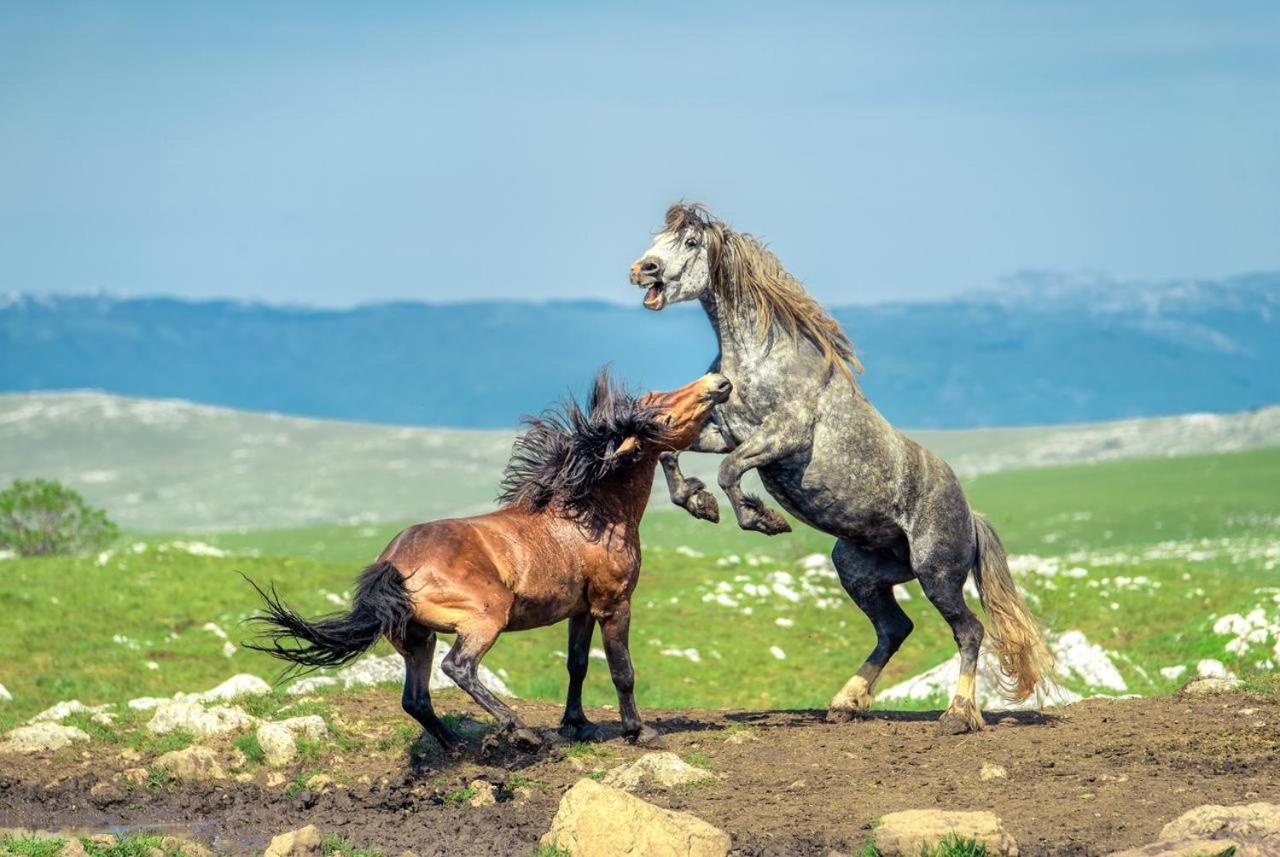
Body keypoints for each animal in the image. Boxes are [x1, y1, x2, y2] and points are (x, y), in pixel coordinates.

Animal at [248, 368, 732, 752]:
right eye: (660, 412)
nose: (718, 381)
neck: (592, 514)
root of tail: (394, 563)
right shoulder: (613, 604)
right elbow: (622, 671)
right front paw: (639, 731)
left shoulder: (581, 610)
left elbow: (576, 666)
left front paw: (577, 726)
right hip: (485, 618)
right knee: (458, 668)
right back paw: (519, 730)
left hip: (416, 638)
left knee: (416, 699)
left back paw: (458, 746)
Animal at [624, 204, 1054, 736]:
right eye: (659, 237)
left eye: (688, 241)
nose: (641, 269)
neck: (762, 359)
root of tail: (971, 517)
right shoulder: (726, 430)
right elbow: (671, 452)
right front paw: (699, 503)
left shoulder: (780, 437)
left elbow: (729, 472)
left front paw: (762, 518)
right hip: (859, 570)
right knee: (895, 628)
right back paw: (846, 703)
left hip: (936, 573)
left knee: (969, 630)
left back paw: (958, 714)